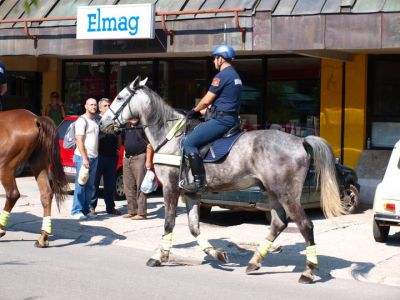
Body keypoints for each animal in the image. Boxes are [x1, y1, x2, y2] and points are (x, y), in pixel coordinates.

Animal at [0, 109, 68, 247]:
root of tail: (35, 119)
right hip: (39, 164)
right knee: (46, 194)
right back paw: (43, 237)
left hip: (5, 167)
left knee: (12, 194)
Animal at [98, 77, 346, 284]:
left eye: (119, 97)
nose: (102, 123)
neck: (170, 135)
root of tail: (300, 140)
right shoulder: (191, 193)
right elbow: (194, 228)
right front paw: (217, 254)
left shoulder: (170, 188)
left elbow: (169, 223)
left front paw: (160, 257)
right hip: (272, 192)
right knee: (278, 223)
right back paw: (254, 262)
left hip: (286, 194)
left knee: (305, 225)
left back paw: (308, 271)